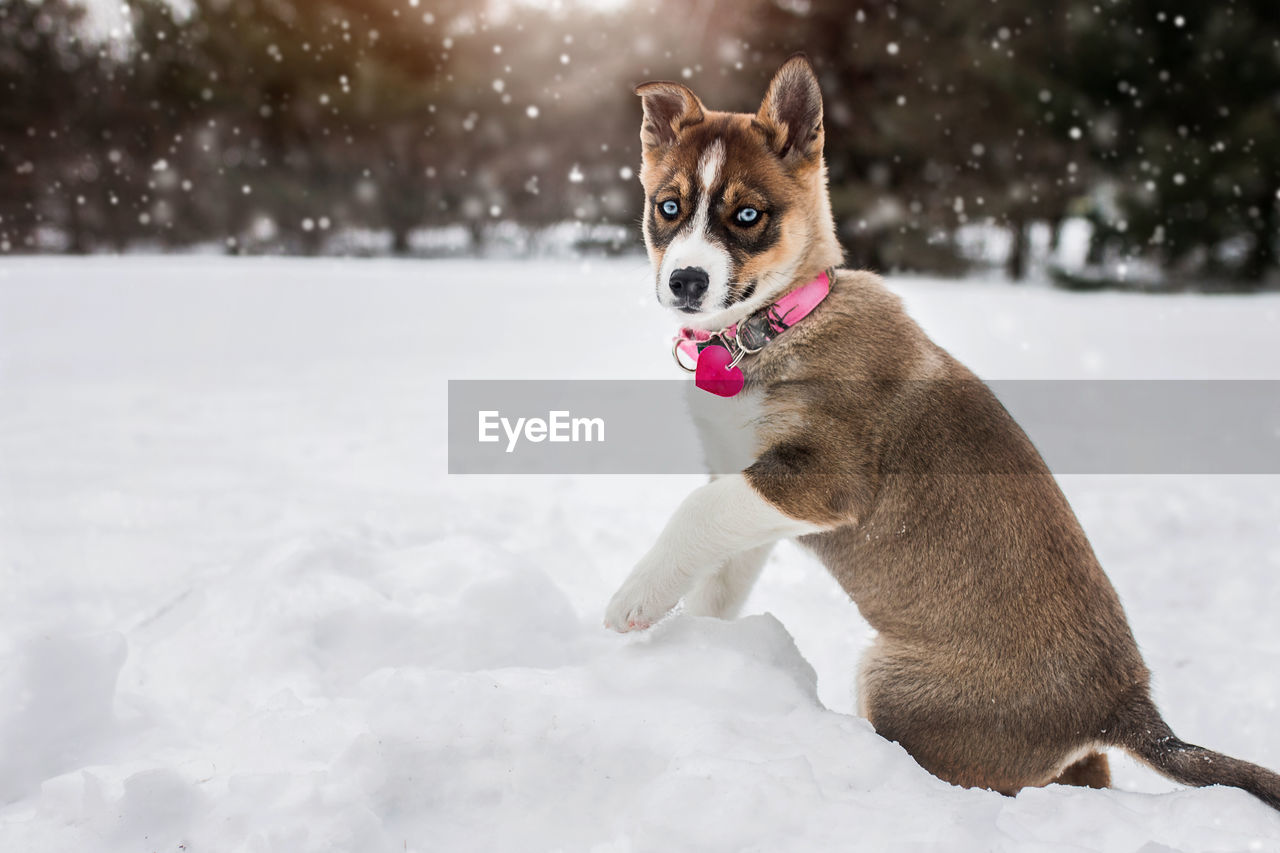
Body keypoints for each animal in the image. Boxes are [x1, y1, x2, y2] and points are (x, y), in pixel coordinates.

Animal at [604, 54, 1280, 809]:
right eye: (668, 207)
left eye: (747, 215)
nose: (686, 282)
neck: (775, 326)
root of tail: (1124, 706)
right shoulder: (749, 488)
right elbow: (717, 580)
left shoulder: (822, 478)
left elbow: (694, 514)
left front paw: (632, 599)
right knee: (1084, 775)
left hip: (897, 684)